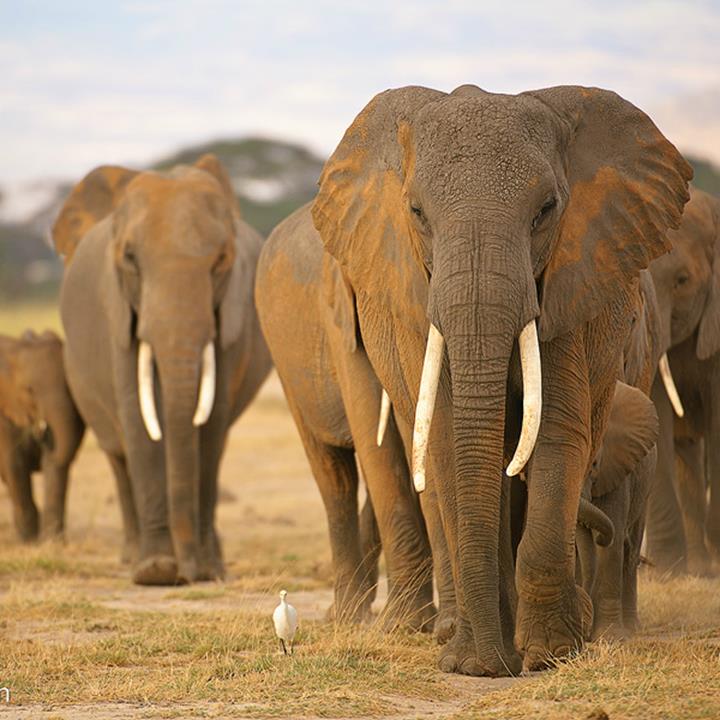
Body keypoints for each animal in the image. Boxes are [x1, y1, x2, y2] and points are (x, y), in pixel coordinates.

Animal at [0, 330, 86, 540]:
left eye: (70, 388)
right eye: (29, 389)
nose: (40, 433)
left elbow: (55, 466)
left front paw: (52, 541)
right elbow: (14, 464)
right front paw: (29, 539)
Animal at [52, 153, 272, 584]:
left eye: (221, 261)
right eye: (130, 259)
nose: (189, 574)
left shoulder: (230, 315)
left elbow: (212, 420)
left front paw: (207, 569)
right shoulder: (118, 310)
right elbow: (137, 417)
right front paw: (155, 571)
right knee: (117, 453)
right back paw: (131, 557)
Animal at [256, 205, 442, 632]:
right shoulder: (341, 318)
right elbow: (373, 432)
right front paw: (405, 626)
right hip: (285, 366)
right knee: (334, 475)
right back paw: (346, 616)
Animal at [310, 84, 692, 676]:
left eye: (546, 210)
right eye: (416, 212)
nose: (490, 665)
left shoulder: (569, 284)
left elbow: (557, 431)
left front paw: (549, 654)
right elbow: (449, 438)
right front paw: (474, 661)